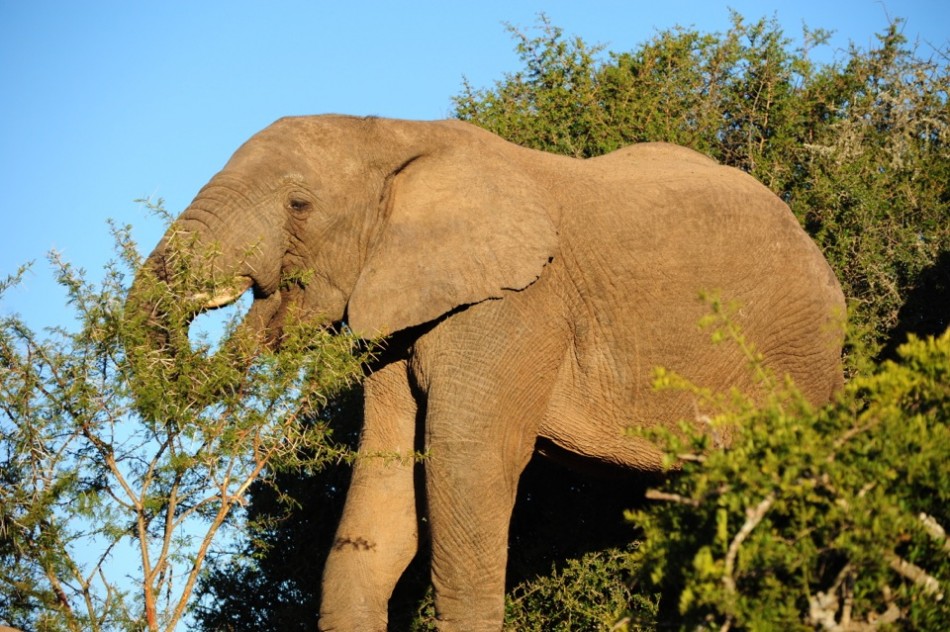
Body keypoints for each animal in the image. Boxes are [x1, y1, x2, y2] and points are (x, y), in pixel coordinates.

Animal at [130, 115, 845, 631]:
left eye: (299, 204)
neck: (396, 134)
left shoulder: (519, 304)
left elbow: (467, 466)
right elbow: (385, 487)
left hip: (793, 359)